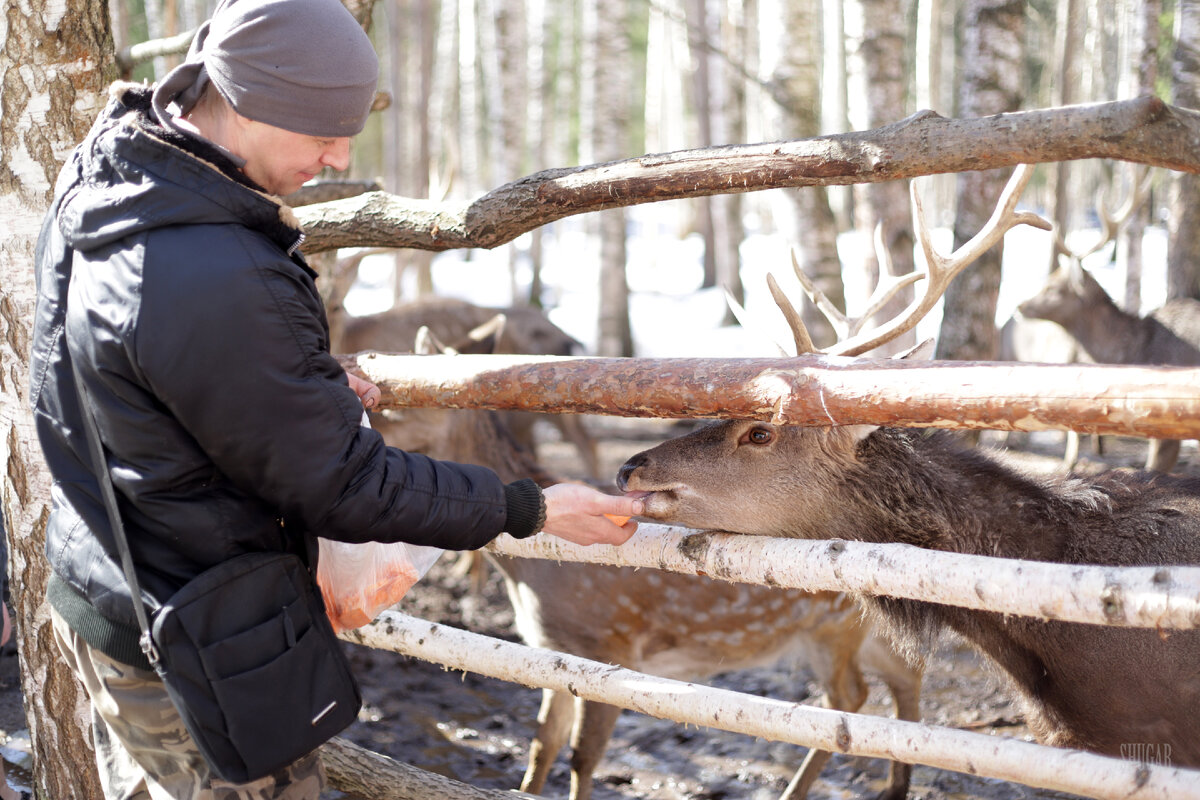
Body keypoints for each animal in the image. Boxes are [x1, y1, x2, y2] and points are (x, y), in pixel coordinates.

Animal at [372, 323, 916, 800]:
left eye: (398, 404)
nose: (370, 434)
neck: (532, 576)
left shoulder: (611, 646)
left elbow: (583, 757)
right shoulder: (550, 651)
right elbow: (541, 748)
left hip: (831, 625)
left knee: (849, 700)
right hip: (859, 628)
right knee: (900, 677)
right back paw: (895, 786)